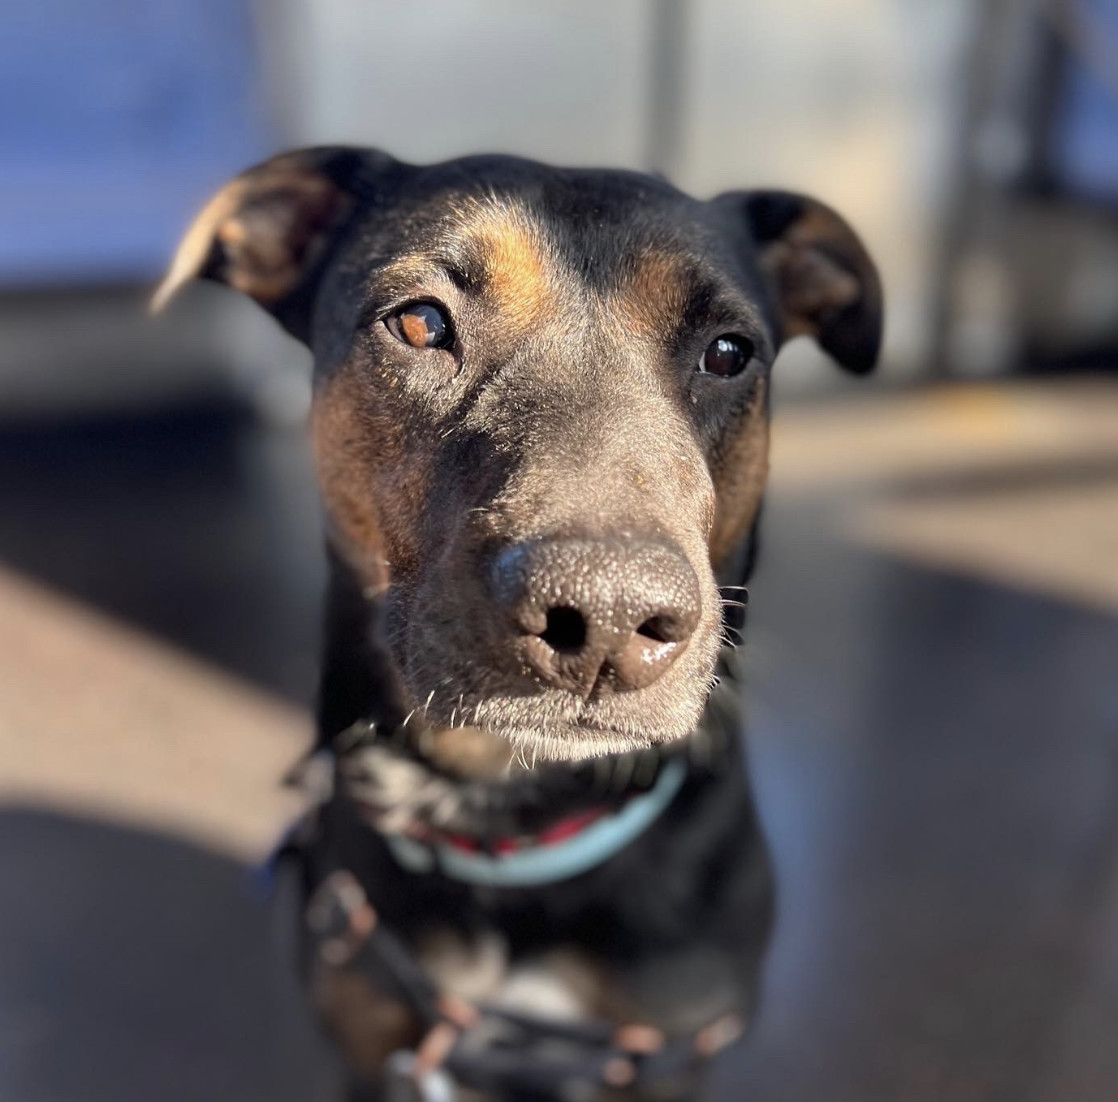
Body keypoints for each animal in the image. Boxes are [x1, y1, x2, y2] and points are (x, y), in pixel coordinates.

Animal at [155, 148, 880, 1099]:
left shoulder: (662, 1055)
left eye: (728, 352)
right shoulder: (372, 1047)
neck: (506, 821)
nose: (607, 616)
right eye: (420, 322)